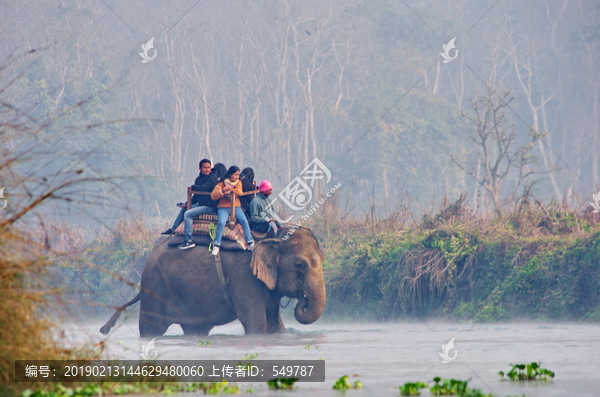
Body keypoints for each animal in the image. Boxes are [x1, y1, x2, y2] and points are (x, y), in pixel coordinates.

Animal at [101, 227, 326, 336]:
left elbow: (274, 325)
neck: (273, 238)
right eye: (300, 265)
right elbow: (256, 324)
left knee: (196, 329)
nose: (303, 300)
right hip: (155, 288)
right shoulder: (243, 278)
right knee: (151, 329)